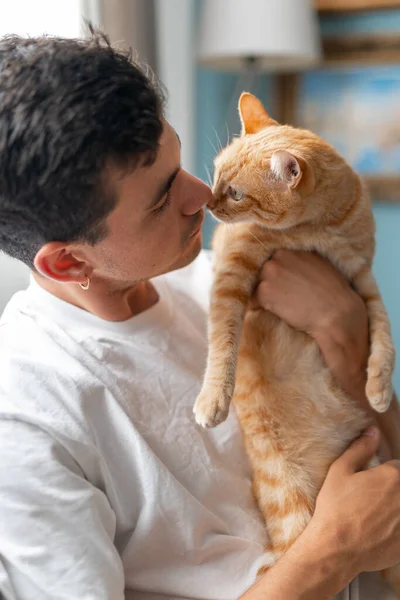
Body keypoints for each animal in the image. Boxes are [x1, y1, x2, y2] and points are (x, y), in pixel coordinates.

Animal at [193, 92, 396, 592]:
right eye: (216, 174)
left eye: (236, 193)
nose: (208, 204)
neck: (317, 229)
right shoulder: (232, 274)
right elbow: (222, 344)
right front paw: (213, 400)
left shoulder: (361, 284)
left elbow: (384, 340)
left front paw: (378, 389)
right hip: (295, 512)